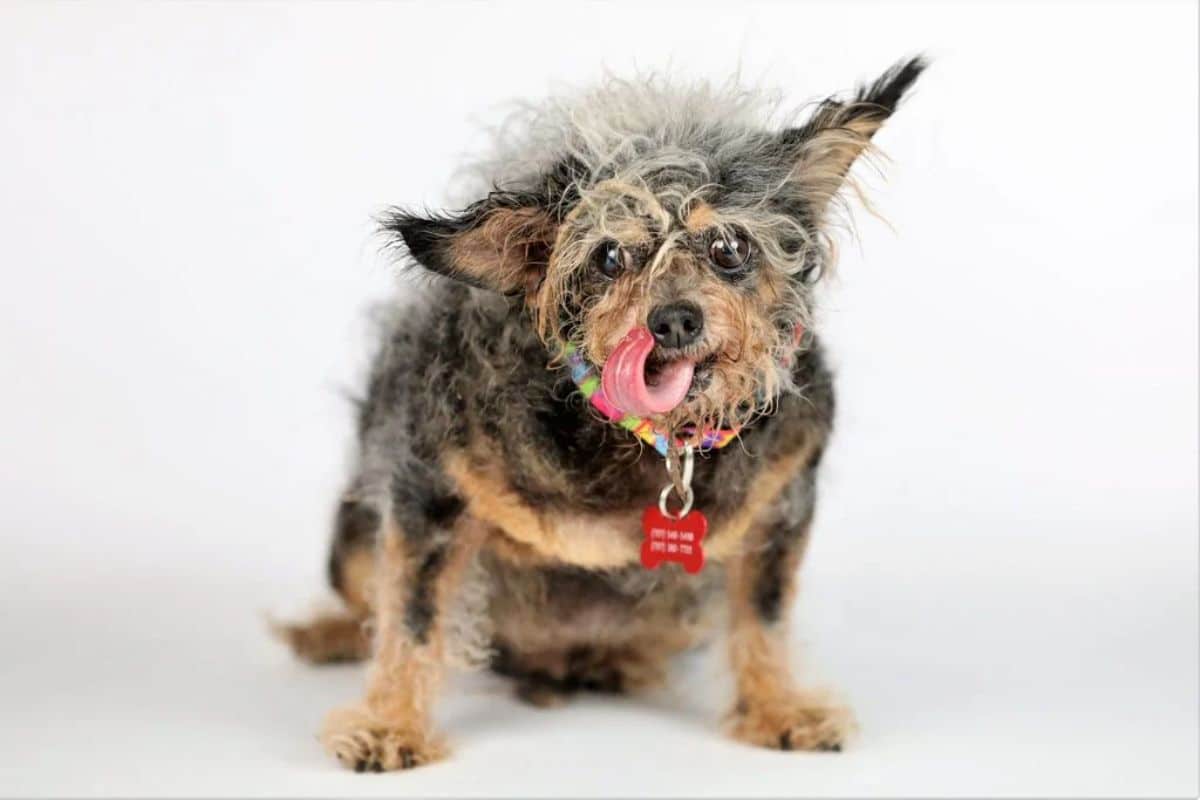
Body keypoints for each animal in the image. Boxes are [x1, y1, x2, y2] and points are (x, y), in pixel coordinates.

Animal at [280, 59, 926, 772]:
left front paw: (778, 708)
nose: (673, 319)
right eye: (610, 257)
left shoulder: (781, 509)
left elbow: (764, 615)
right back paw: (328, 633)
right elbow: (412, 619)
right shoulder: (428, 494)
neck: (656, 446)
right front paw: (389, 724)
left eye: (728, 246)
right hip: (349, 544)